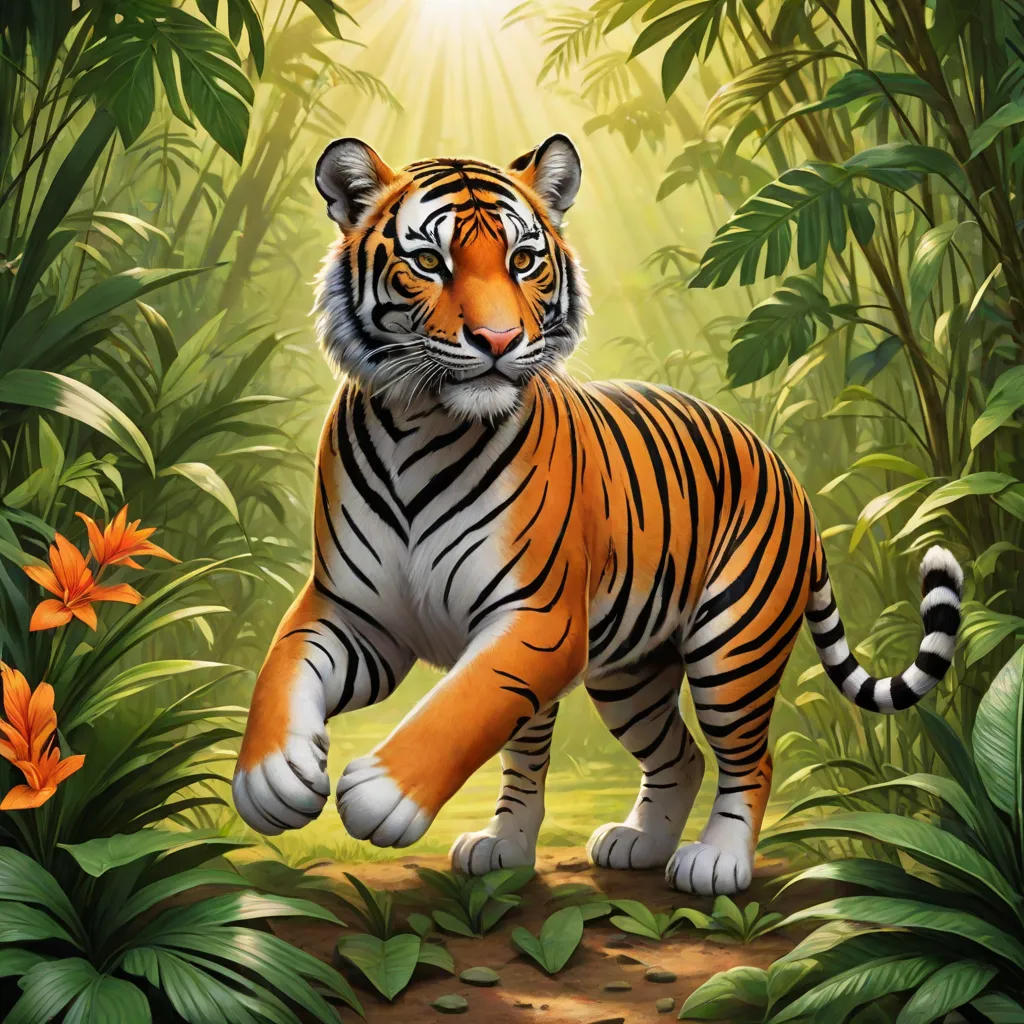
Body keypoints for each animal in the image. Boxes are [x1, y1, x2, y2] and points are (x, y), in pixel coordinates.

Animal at [232, 133, 963, 895]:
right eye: (429, 263)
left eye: (524, 260)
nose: (497, 340)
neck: (419, 425)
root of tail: (786, 470)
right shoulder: (356, 615)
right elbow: (283, 667)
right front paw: (270, 777)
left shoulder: (537, 621)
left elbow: (459, 710)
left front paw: (381, 793)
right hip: (630, 672)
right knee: (675, 755)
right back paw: (613, 844)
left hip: (732, 642)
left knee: (749, 758)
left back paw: (715, 862)